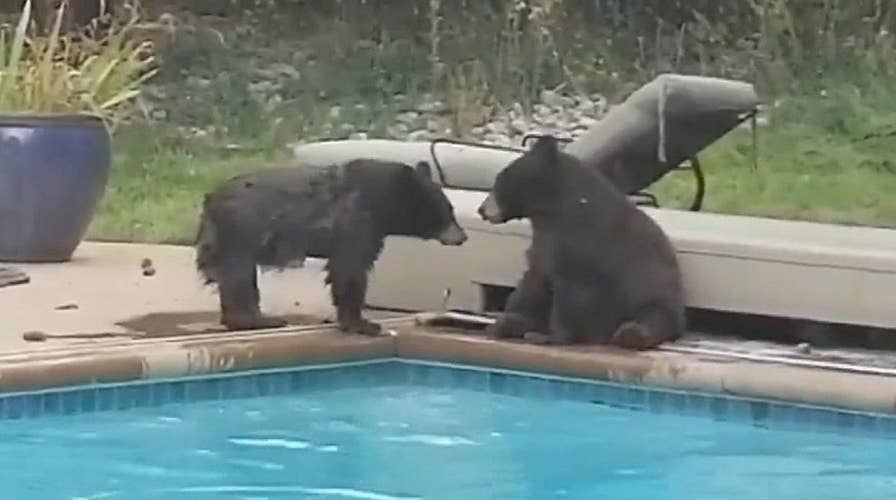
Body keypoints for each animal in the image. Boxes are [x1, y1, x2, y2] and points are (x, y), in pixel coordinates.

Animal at [195, 159, 468, 335]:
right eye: (446, 211)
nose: (462, 237)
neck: (381, 201)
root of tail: (210, 200)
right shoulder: (356, 220)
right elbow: (350, 268)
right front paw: (364, 324)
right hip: (241, 231)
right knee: (238, 275)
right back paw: (260, 321)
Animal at [476, 135, 685, 350]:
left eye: (499, 180)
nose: (481, 210)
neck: (552, 210)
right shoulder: (544, 241)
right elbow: (534, 279)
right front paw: (506, 322)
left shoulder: (580, 242)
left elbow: (572, 289)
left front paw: (552, 337)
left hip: (654, 296)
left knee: (651, 318)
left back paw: (630, 334)